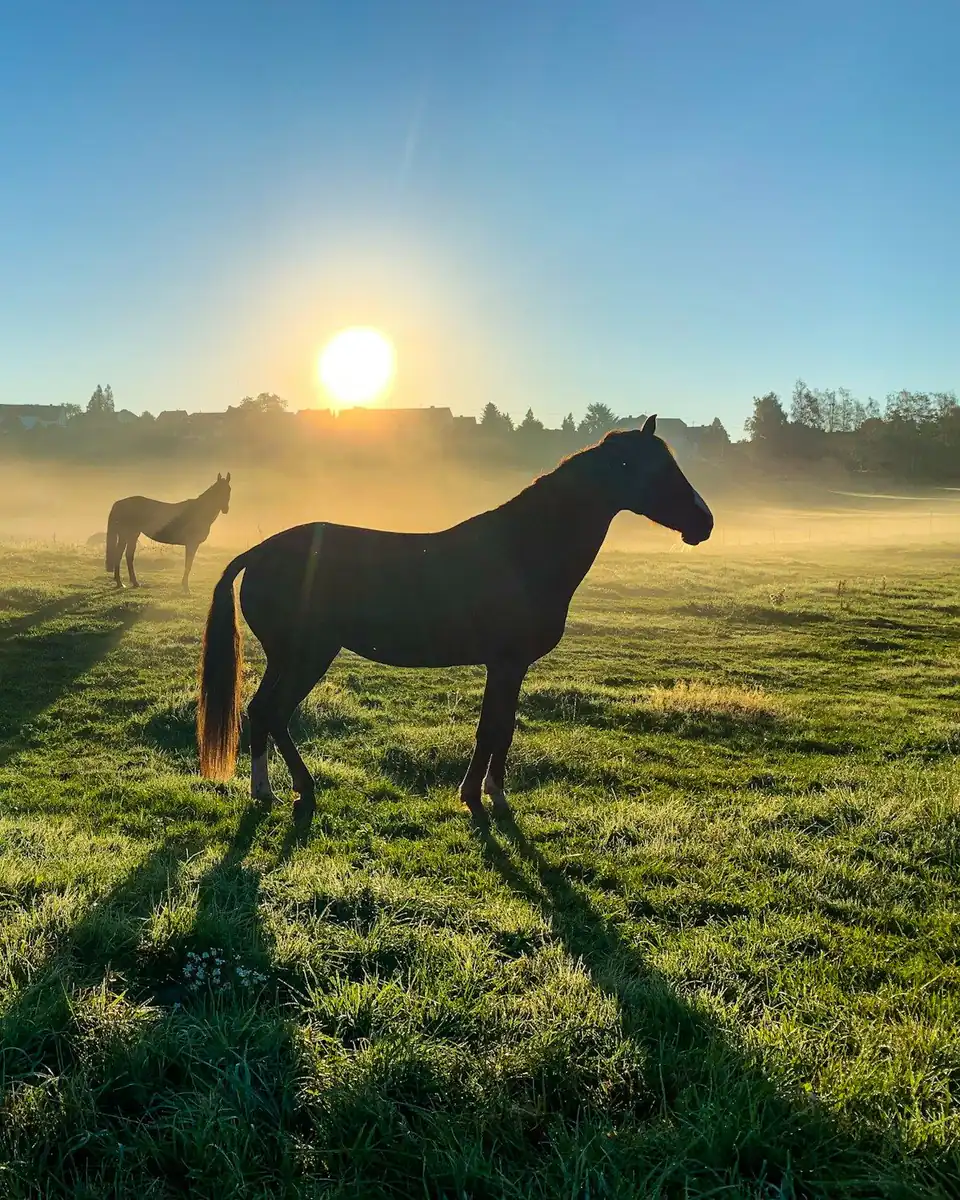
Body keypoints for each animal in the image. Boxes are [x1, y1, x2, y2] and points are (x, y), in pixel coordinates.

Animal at [196, 416, 712, 827]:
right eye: (656, 469)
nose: (704, 523)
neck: (521, 550)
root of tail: (260, 551)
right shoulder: (506, 664)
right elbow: (494, 729)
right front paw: (486, 798)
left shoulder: (507, 667)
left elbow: (499, 726)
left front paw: (483, 792)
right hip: (307, 655)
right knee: (273, 712)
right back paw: (295, 789)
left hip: (287, 657)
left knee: (260, 712)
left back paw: (268, 790)